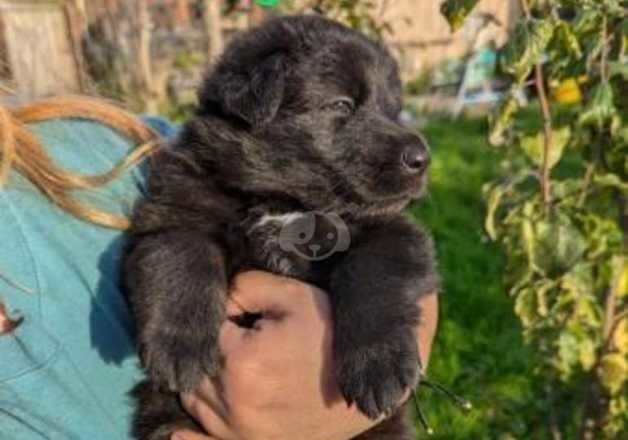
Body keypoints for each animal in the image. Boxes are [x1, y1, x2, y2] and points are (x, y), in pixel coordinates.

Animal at [122, 13, 436, 440]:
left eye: (393, 110)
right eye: (342, 104)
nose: (422, 158)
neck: (282, 200)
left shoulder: (395, 230)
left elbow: (373, 273)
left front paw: (379, 365)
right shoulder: (174, 208)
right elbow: (181, 254)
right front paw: (178, 347)